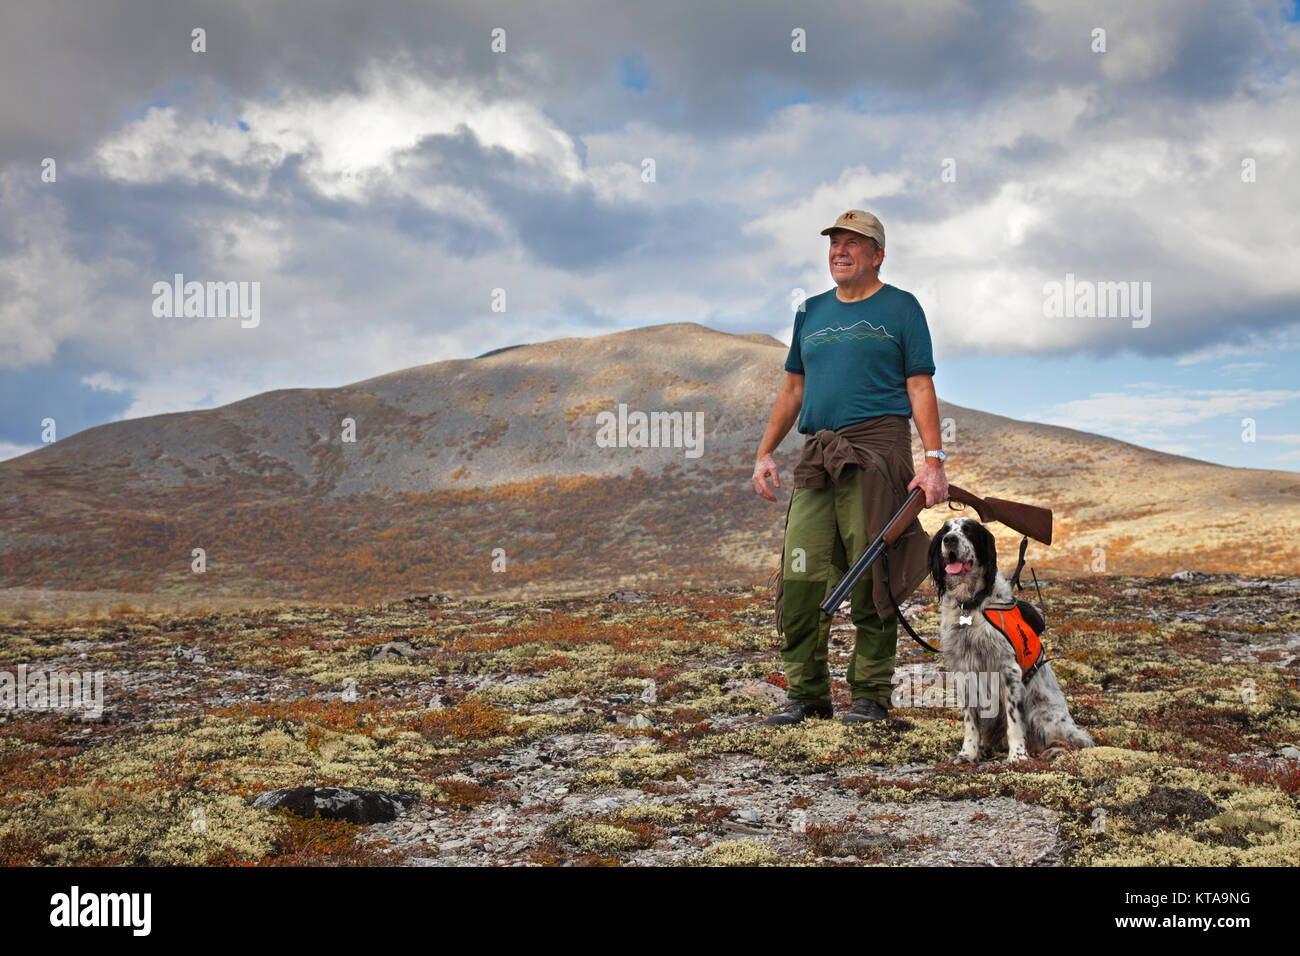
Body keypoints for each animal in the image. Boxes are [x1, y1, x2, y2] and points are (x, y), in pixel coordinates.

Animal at [930, 515, 1092, 764]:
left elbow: (1014, 720)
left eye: (968, 530)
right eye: (945, 530)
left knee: (1074, 740)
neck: (971, 603)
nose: (949, 540)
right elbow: (970, 721)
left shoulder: (1008, 670)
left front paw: (1017, 756)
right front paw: (968, 753)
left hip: (1043, 714)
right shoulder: (964, 670)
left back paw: (1053, 751)